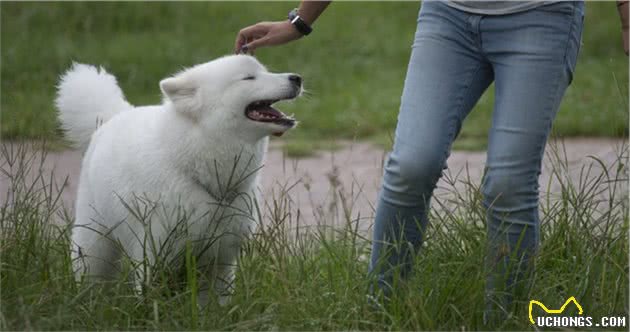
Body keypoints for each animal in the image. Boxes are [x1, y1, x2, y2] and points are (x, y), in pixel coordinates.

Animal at [55, 55, 302, 306]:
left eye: (265, 71)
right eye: (249, 78)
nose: (297, 78)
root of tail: (115, 116)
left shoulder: (219, 261)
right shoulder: (155, 254)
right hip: (95, 241)